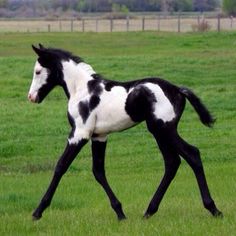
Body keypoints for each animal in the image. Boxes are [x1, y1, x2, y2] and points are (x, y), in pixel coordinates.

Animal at [28, 43, 222, 219]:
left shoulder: (79, 134)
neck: (82, 90)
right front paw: (120, 212)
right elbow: (98, 171)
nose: (31, 97)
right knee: (172, 163)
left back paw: (213, 209)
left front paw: (38, 211)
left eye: (37, 71)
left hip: (164, 129)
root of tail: (177, 89)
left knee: (192, 154)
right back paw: (149, 211)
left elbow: (61, 166)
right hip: (160, 133)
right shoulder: (99, 136)